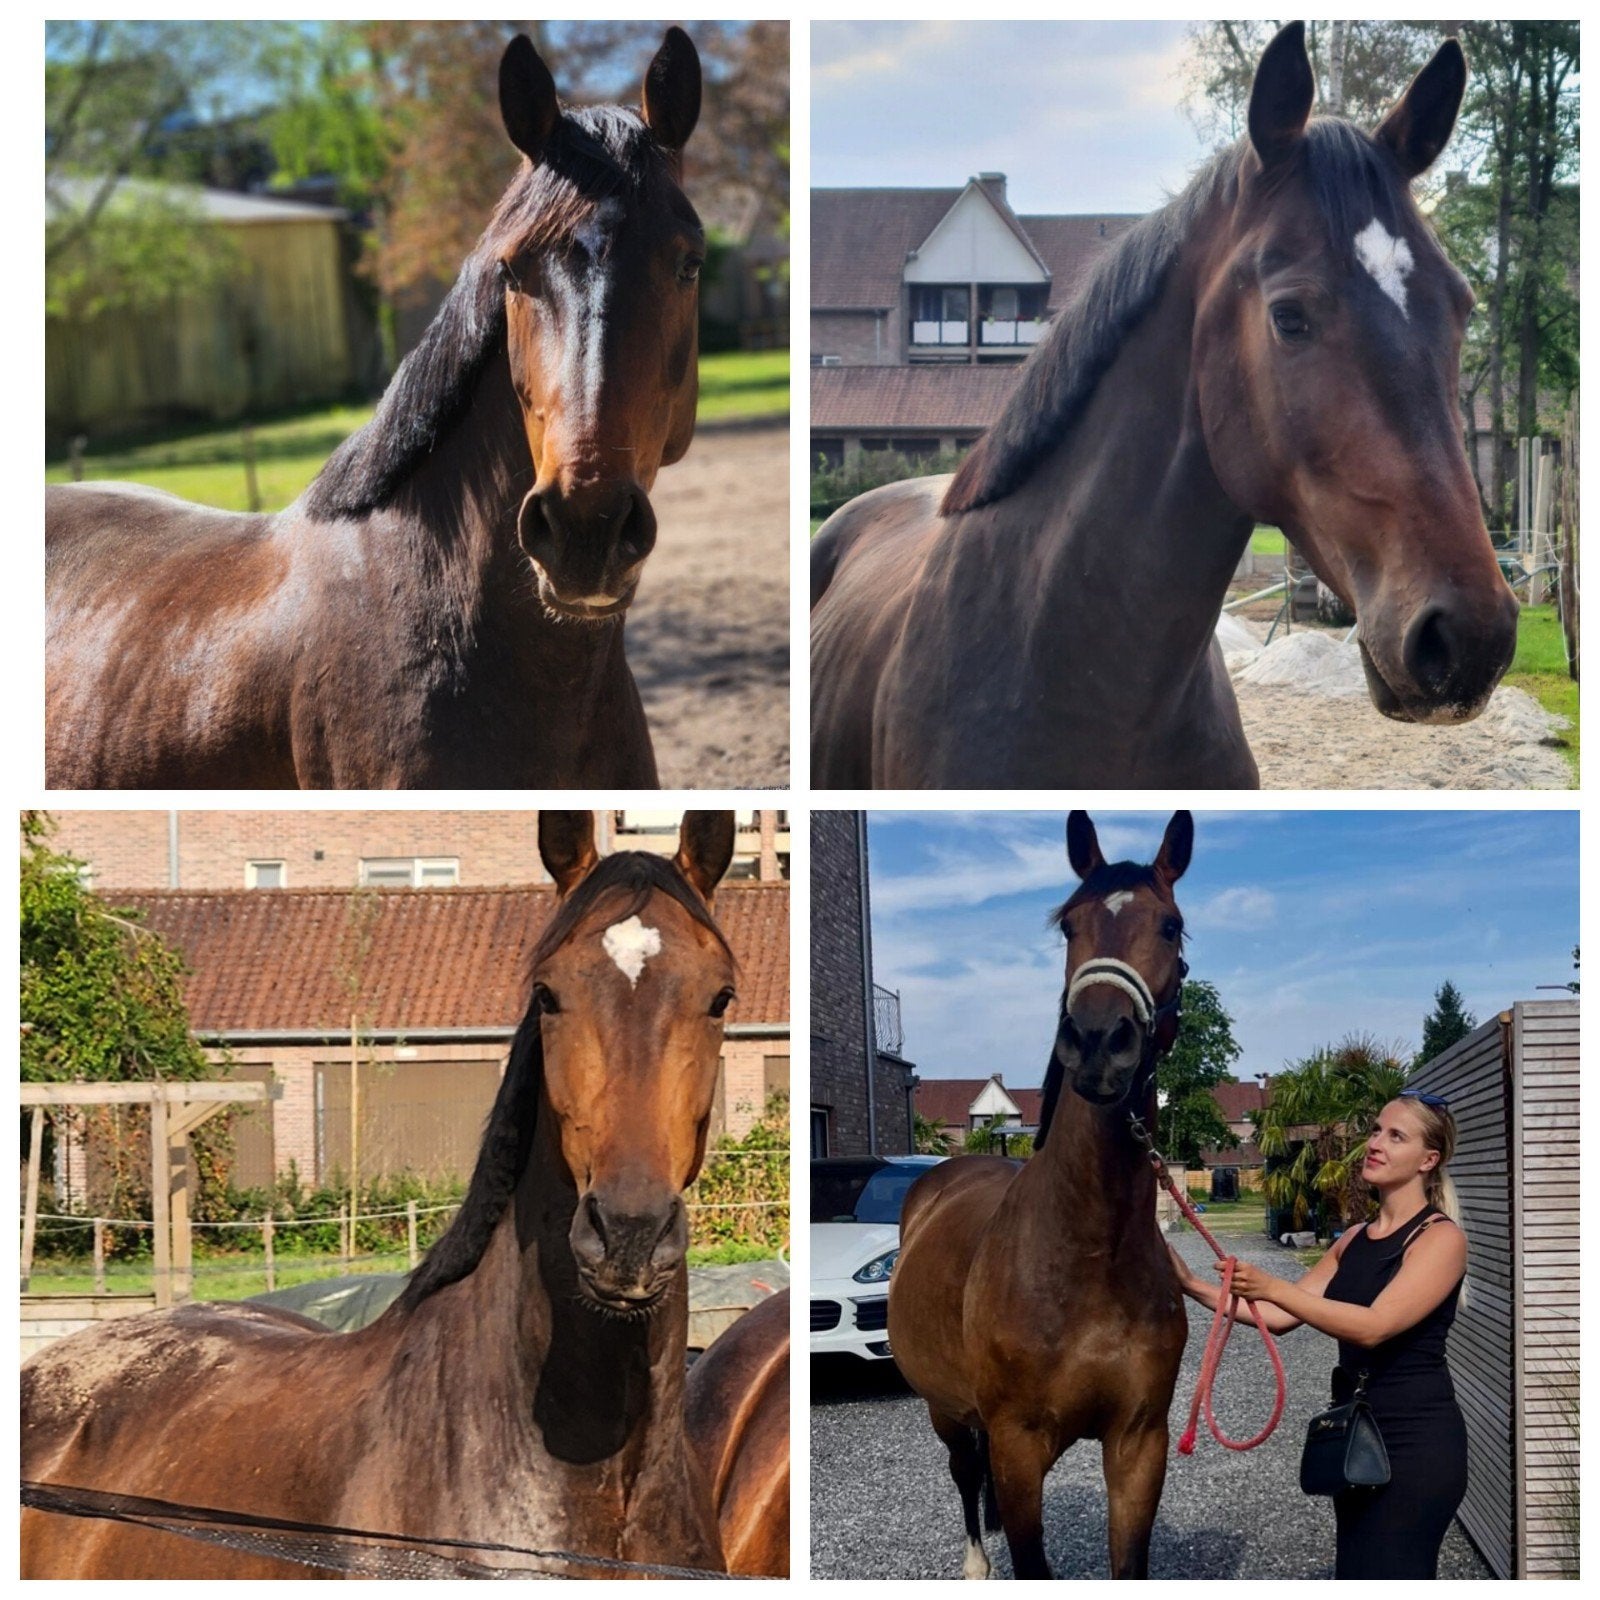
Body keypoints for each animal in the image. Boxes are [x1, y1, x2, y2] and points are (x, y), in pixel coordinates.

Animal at [888, 811, 1194, 1578]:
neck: (1087, 1253)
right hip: (947, 1410)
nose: (1098, 1040)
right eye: (1070, 926)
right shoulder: (1018, 1446)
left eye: (1170, 926)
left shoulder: (1139, 1442)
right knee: (965, 1473)